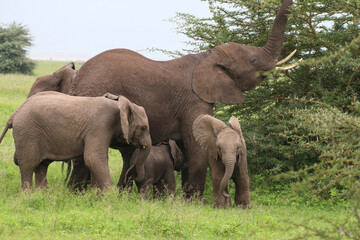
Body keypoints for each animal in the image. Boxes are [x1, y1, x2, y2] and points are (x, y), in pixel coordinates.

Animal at [0, 92, 151, 191]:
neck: (119, 105)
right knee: (28, 165)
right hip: (28, 134)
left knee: (42, 165)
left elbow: (94, 160)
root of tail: (14, 114)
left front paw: (96, 196)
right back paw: (28, 196)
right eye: (143, 128)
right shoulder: (100, 126)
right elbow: (93, 158)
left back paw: (43, 195)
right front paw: (111, 196)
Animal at [67, 0, 292, 204]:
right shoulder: (194, 99)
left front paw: (187, 199)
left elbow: (187, 148)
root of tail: (77, 79)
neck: (208, 56)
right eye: (253, 61)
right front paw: (198, 203)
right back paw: (78, 196)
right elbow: (197, 147)